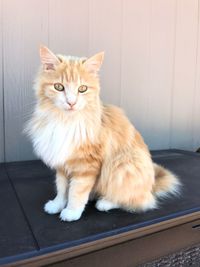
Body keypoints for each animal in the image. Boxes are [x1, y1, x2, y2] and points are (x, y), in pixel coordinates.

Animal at [25, 45, 181, 222]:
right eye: (59, 87)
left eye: (82, 89)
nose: (71, 103)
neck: (65, 121)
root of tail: (151, 186)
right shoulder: (62, 163)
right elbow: (62, 189)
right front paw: (57, 205)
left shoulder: (86, 165)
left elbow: (76, 192)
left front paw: (72, 211)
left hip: (122, 166)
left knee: (137, 200)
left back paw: (105, 203)